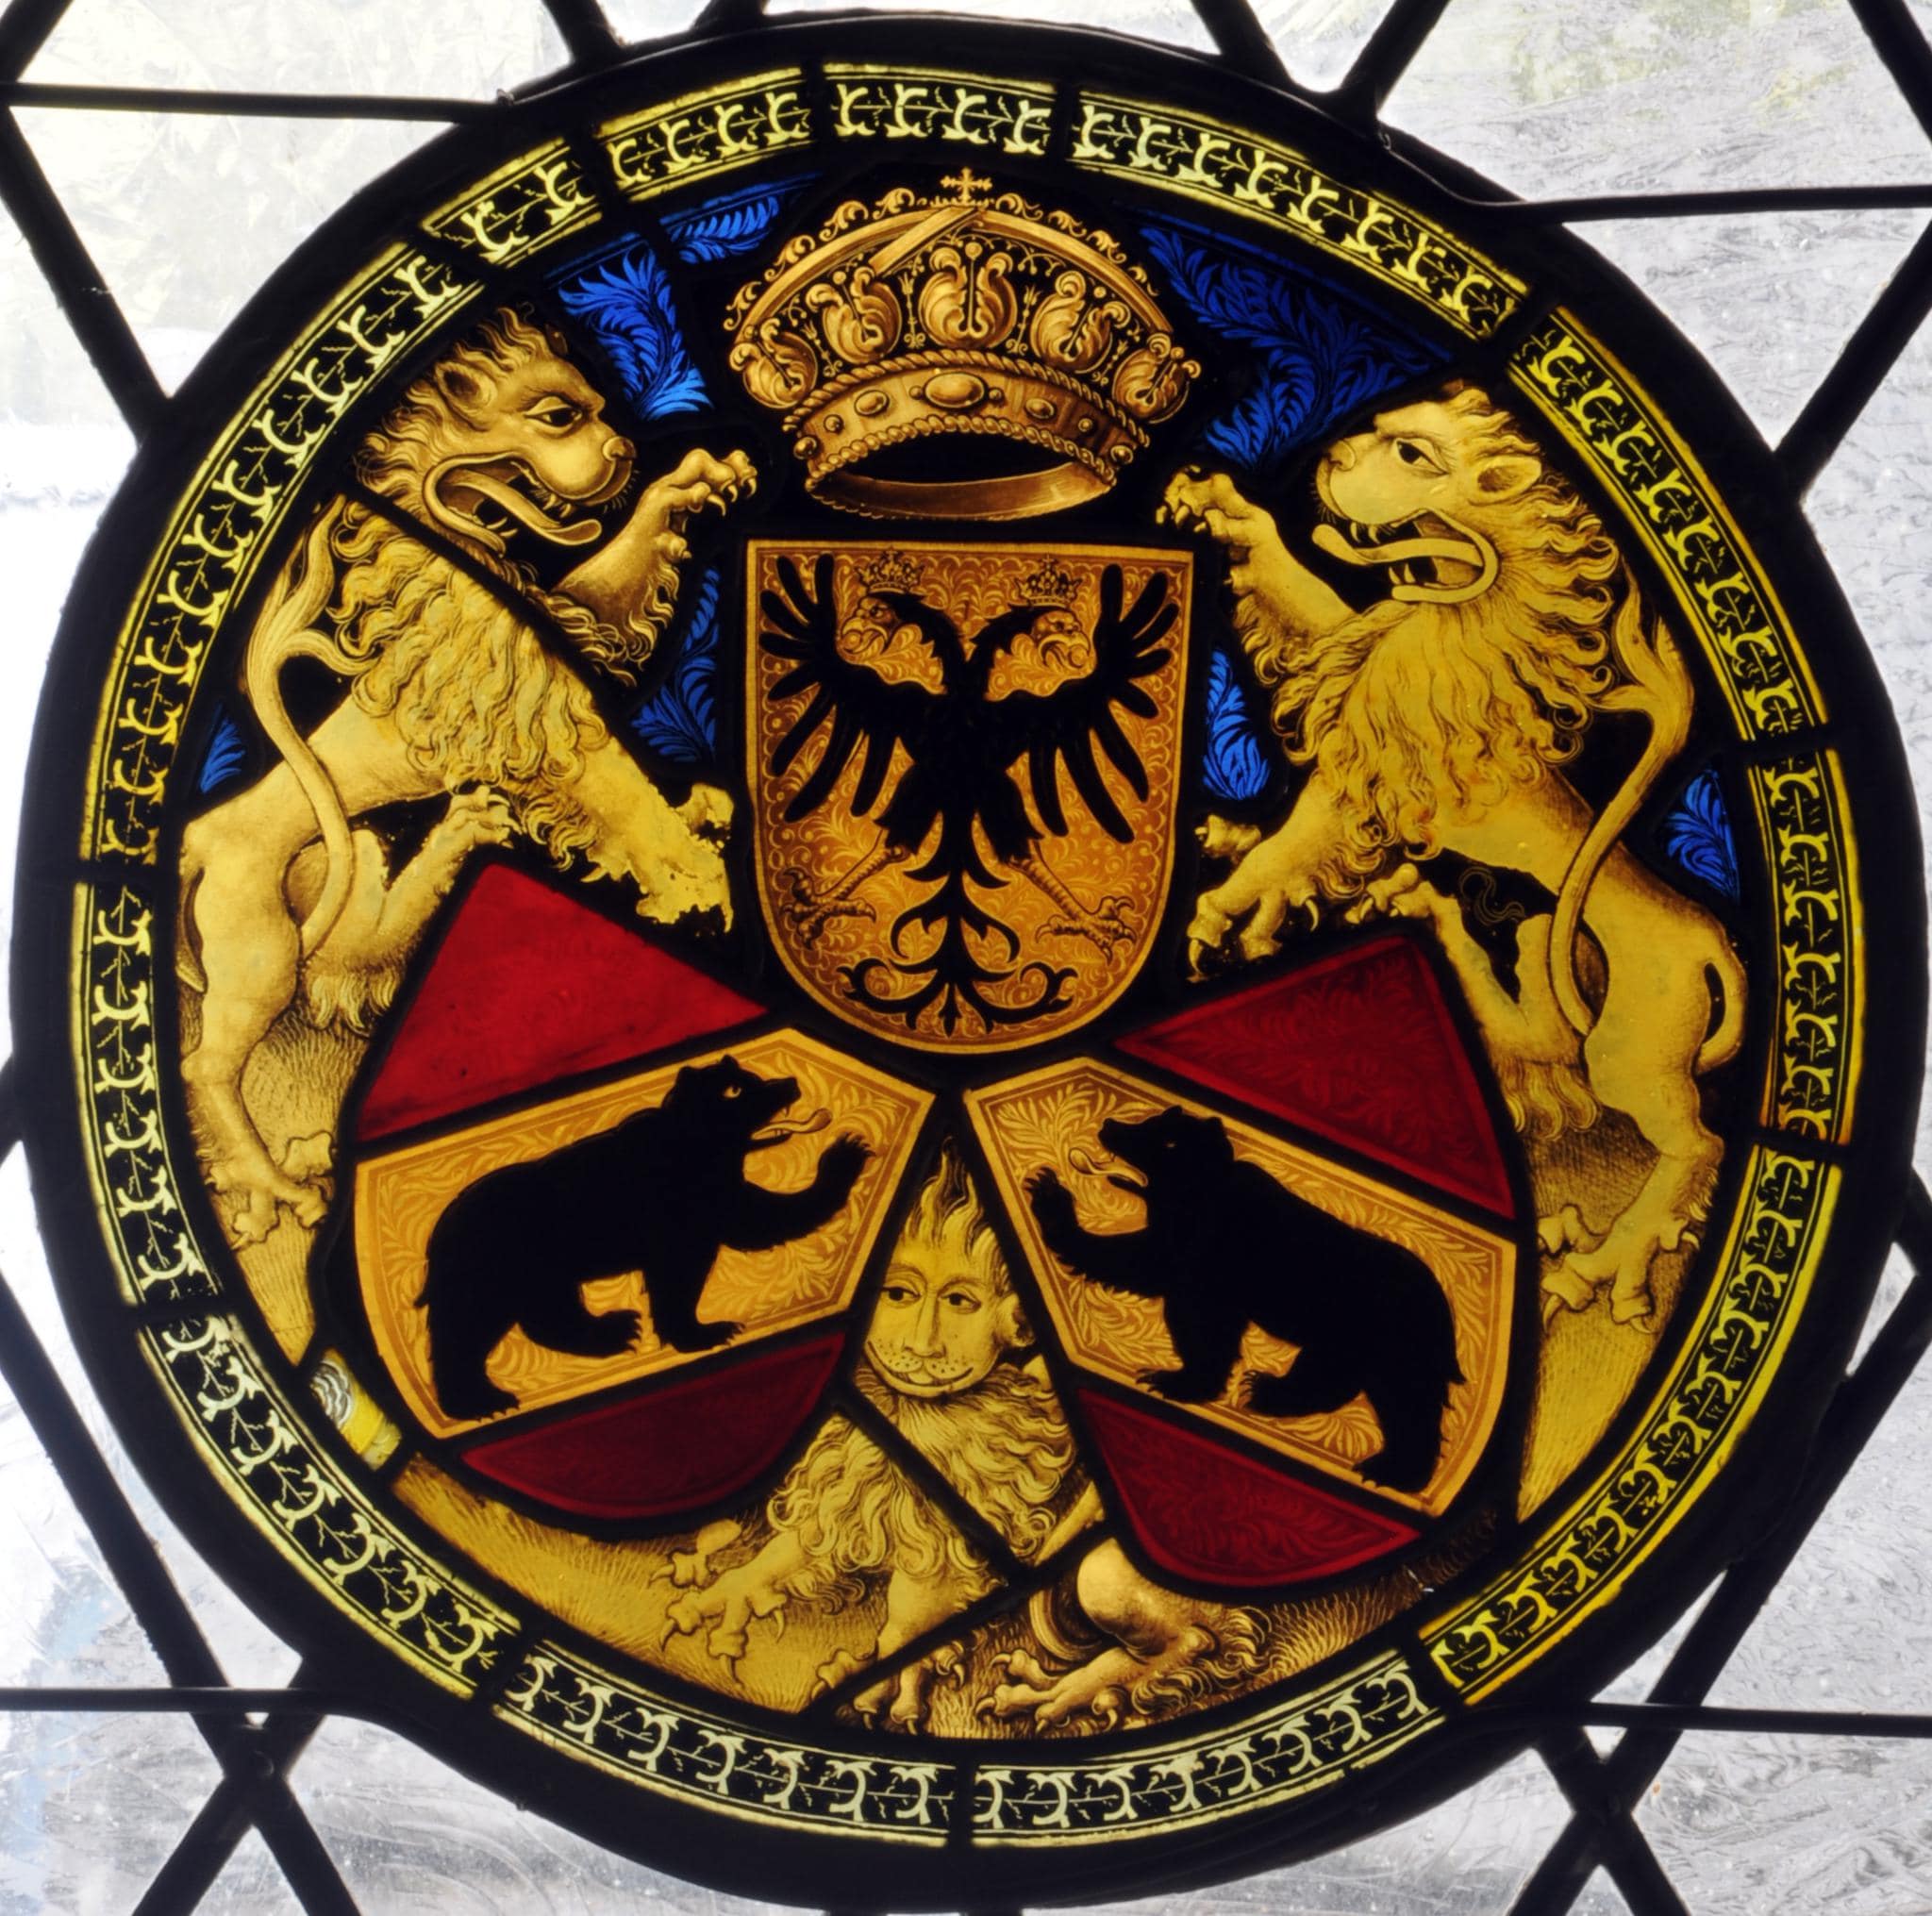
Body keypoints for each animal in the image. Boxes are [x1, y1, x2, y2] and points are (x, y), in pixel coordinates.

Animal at [178, 309, 755, 1243]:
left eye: (601, 406)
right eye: (557, 415)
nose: (625, 452)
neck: (455, 557)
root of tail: (194, 838)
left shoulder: (576, 636)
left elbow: (619, 578)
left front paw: (698, 480)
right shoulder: (548, 720)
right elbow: (633, 802)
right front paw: (702, 886)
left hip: (345, 870)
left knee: (363, 948)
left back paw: (462, 833)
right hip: (258, 948)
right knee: (205, 1066)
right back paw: (278, 1188)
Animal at [662, 1148, 1262, 1730]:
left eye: (959, 1303)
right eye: (899, 1294)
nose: (921, 1350)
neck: (918, 1415)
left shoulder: (947, 1536)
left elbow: (912, 1610)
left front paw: (888, 1676)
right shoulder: (848, 1484)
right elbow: (790, 1548)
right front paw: (727, 1594)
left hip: (1108, 1569)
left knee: (1187, 1640)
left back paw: (1057, 1694)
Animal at [1162, 384, 1745, 1330]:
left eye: (1413, 455)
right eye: (1385, 429)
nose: (1329, 457)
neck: (1452, 621)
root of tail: (1713, 948)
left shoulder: (1359, 781)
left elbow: (1289, 850)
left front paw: (1218, 913)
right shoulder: (1343, 667)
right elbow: (1298, 588)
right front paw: (1224, 504)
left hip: (1631, 1048)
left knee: (1699, 1141)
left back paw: (1603, 1263)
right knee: (1529, 1025)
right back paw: (1422, 912)